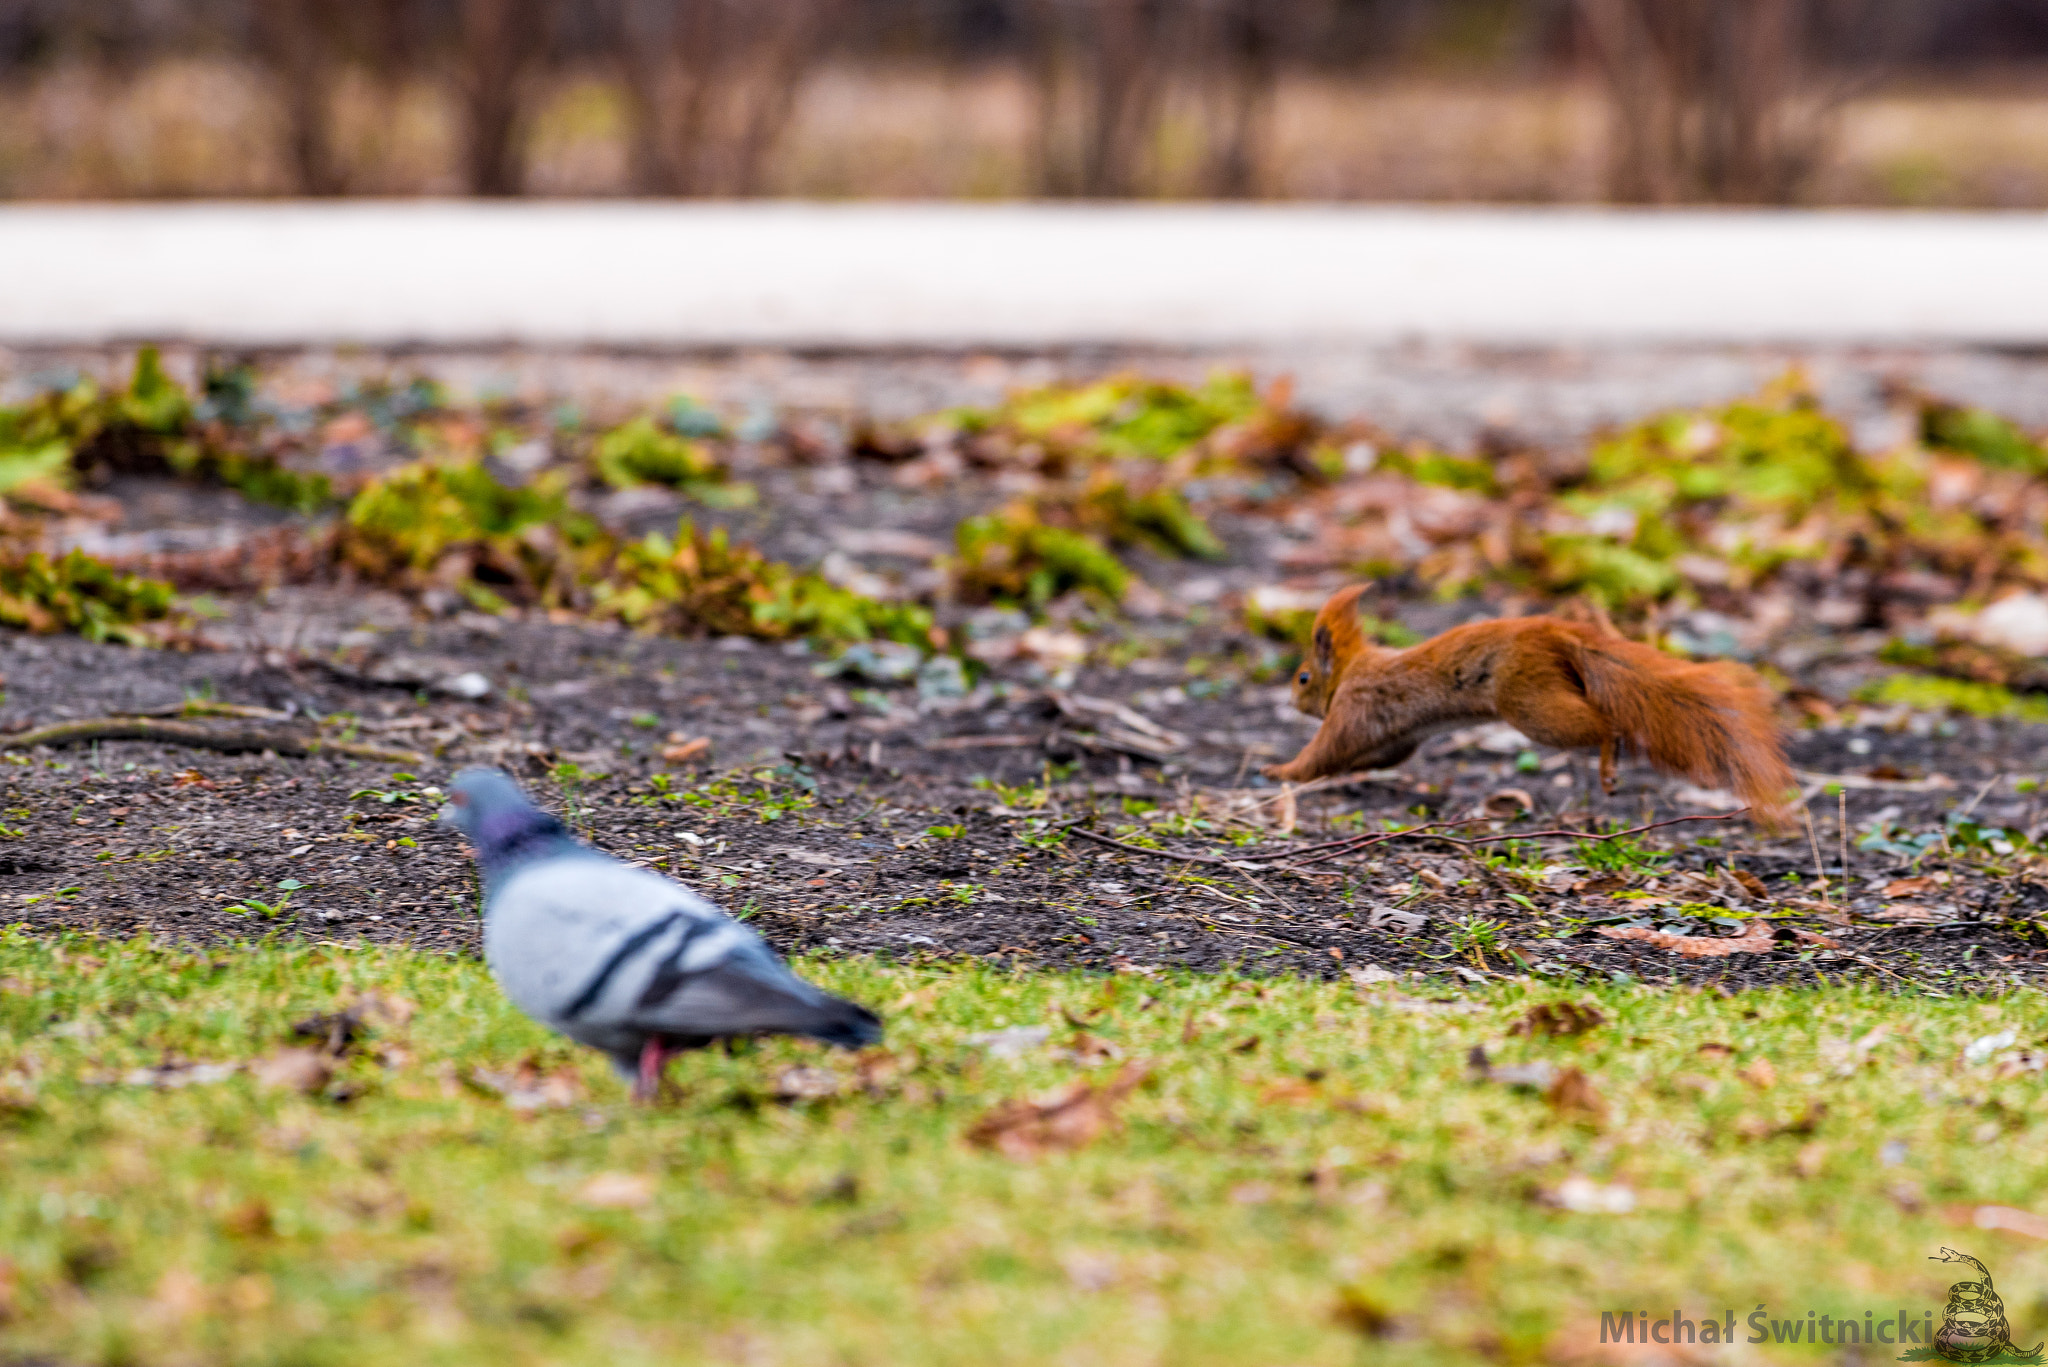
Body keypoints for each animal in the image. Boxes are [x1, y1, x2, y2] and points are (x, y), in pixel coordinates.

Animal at [1261, 586, 1794, 827]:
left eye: (1303, 677)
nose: (1289, 699)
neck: (1353, 671)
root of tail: (1552, 636)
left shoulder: (1354, 705)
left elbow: (1324, 752)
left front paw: (1278, 770)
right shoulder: (1395, 737)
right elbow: (1375, 756)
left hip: (1531, 706)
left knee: (1605, 724)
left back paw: (1609, 766)